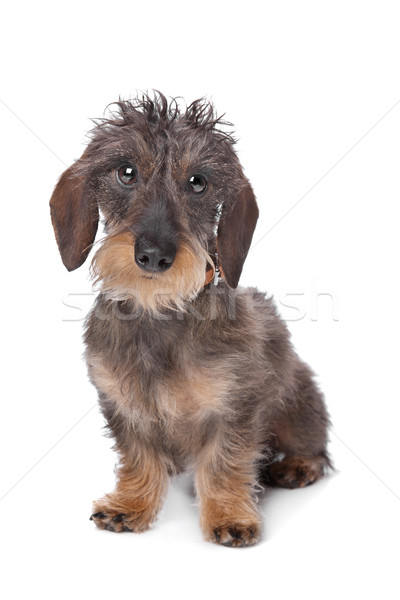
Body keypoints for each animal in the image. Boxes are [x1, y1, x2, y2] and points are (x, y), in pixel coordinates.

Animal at [50, 91, 332, 548]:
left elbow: (224, 461)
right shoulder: (122, 402)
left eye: (198, 182)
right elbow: (138, 455)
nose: (153, 255)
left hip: (298, 403)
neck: (159, 311)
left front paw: (229, 514)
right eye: (126, 173)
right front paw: (131, 502)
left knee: (316, 447)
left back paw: (298, 465)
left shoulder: (235, 405)